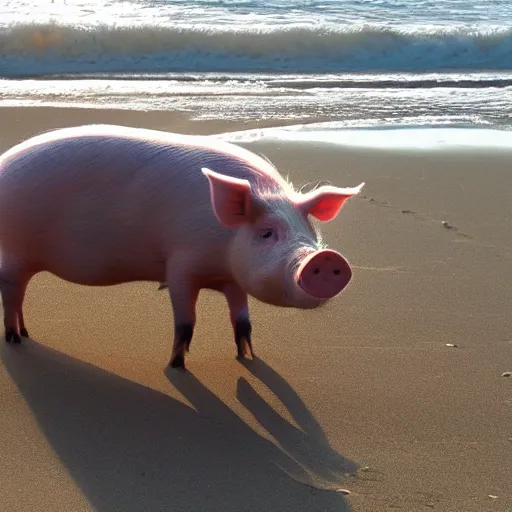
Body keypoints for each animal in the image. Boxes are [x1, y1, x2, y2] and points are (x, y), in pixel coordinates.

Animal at [0, 126, 364, 370]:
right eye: (266, 233)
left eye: (310, 231)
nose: (324, 258)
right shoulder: (181, 265)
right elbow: (185, 322)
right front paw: (176, 366)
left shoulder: (234, 278)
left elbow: (243, 321)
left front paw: (248, 357)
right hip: (13, 254)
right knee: (11, 294)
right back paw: (15, 339)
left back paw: (27, 334)